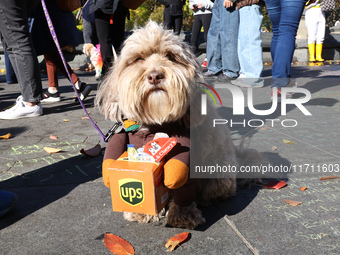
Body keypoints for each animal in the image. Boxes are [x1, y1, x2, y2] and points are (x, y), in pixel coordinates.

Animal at [95, 20, 262, 230]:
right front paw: (144, 211)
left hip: (219, 170)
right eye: (138, 58)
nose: (155, 76)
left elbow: (182, 183)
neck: (157, 125)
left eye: (171, 56)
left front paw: (182, 215)